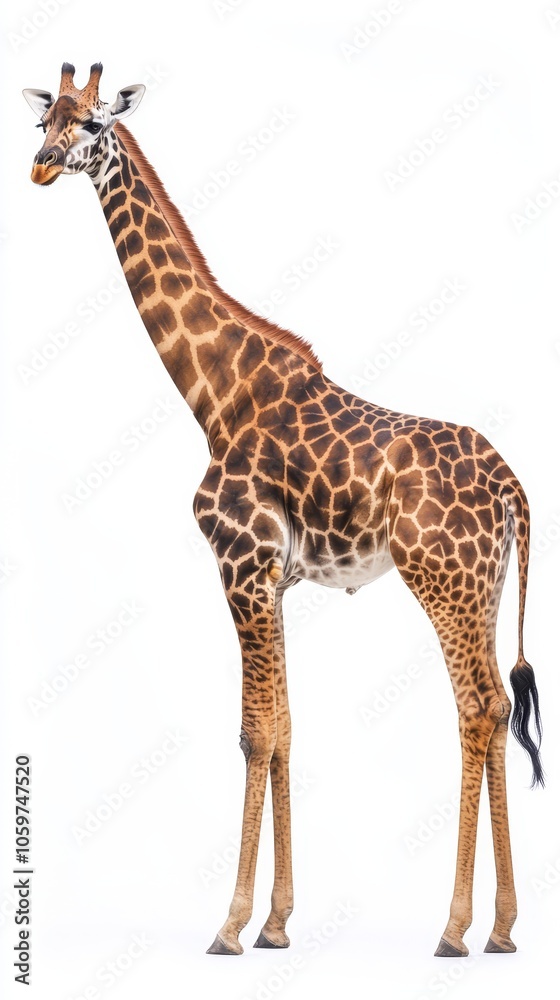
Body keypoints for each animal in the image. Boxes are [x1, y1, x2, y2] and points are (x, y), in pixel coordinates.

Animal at [24, 63, 544, 959]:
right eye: (41, 121)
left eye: (92, 124)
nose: (42, 167)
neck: (213, 393)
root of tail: (512, 484)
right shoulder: (273, 578)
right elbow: (286, 725)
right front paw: (275, 922)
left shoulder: (240, 562)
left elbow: (252, 731)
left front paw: (230, 925)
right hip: (482, 584)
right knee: (500, 706)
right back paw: (504, 929)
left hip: (442, 580)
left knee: (476, 707)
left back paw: (453, 928)